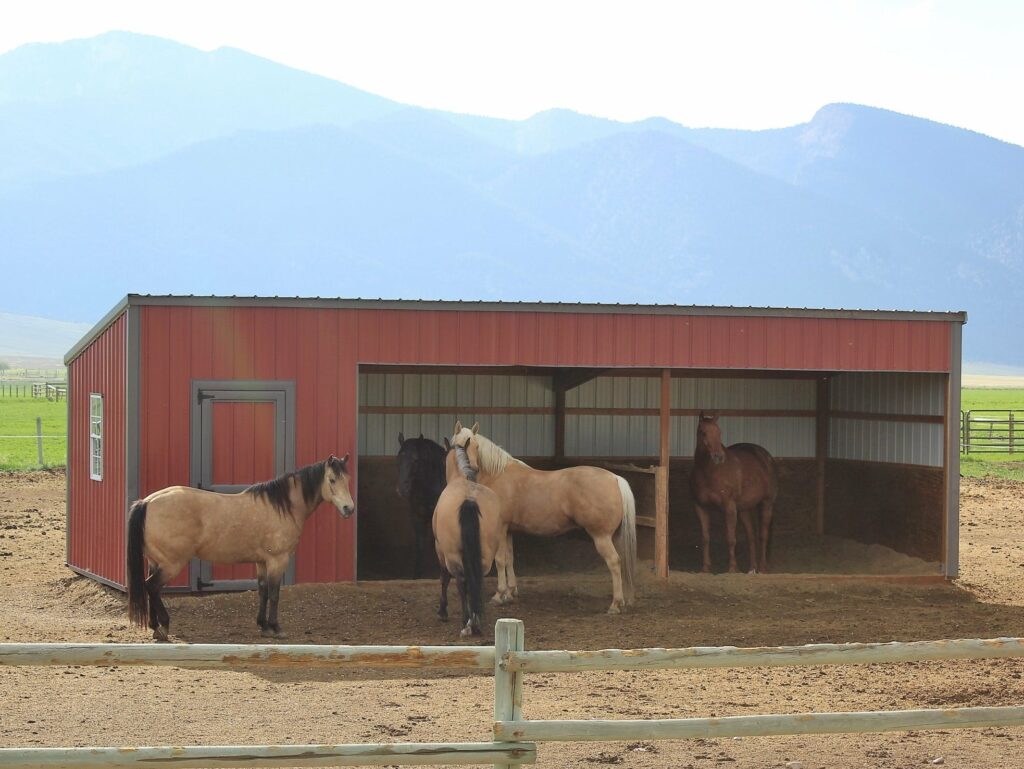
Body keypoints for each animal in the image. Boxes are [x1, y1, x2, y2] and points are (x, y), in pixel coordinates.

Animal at [126, 454, 354, 641]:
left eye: (348, 480)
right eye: (332, 480)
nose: (349, 509)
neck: (282, 507)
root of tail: (147, 502)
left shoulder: (262, 562)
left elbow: (262, 591)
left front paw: (263, 626)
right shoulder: (278, 560)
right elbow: (274, 594)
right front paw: (275, 627)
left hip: (155, 561)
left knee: (151, 589)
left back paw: (155, 627)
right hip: (171, 564)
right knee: (151, 586)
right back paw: (164, 626)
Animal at [396, 433, 447, 579]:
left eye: (416, 460)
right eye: (399, 458)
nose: (402, 489)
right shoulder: (417, 516)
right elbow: (420, 545)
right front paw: (417, 575)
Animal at [433, 440, 509, 637]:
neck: (462, 478)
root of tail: (469, 500)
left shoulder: (440, 549)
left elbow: (444, 578)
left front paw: (443, 611)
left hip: (452, 555)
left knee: (460, 581)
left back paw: (467, 622)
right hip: (485, 555)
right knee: (477, 579)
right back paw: (475, 621)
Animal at [451, 421, 637, 615]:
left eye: (476, 446)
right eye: (460, 444)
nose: (472, 470)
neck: (497, 475)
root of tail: (615, 478)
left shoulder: (500, 529)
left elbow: (500, 560)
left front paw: (499, 595)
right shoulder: (509, 531)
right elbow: (510, 559)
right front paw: (509, 593)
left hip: (601, 537)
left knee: (614, 562)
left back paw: (615, 604)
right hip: (615, 537)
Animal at [689, 413, 778, 574]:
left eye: (719, 432)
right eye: (703, 432)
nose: (718, 457)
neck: (709, 471)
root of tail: (766, 457)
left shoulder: (729, 507)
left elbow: (731, 538)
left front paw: (732, 568)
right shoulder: (700, 507)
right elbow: (705, 538)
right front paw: (705, 568)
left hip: (767, 504)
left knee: (763, 535)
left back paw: (762, 568)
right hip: (744, 509)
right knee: (751, 536)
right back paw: (752, 568)